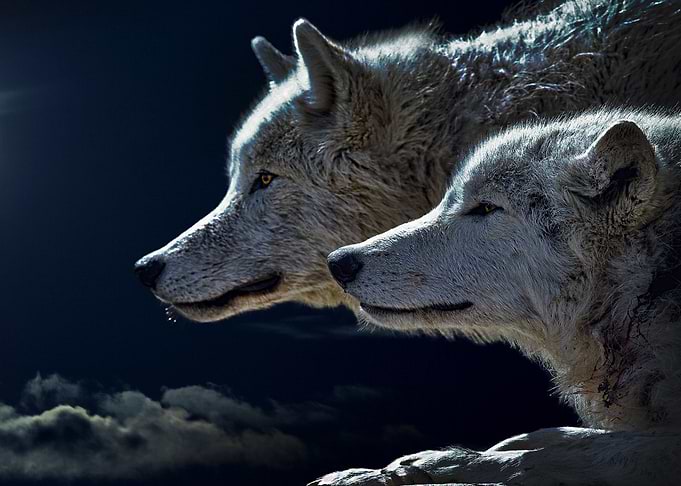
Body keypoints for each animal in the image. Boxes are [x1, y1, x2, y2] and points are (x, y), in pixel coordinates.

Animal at [321, 109, 681, 485]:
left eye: (485, 208)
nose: (338, 262)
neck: (645, 287)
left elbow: (545, 457)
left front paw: (416, 467)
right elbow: (561, 437)